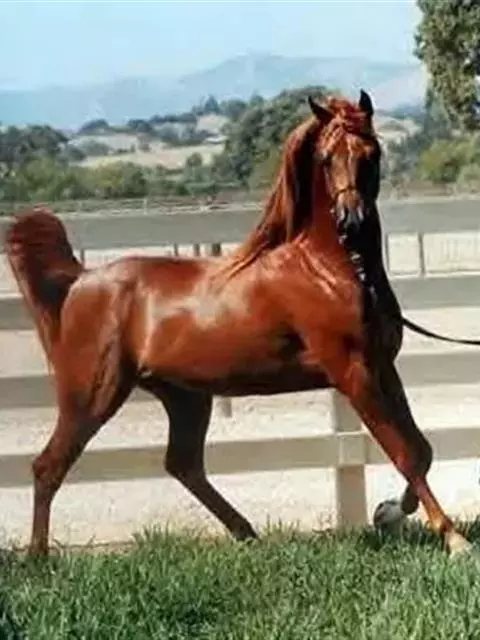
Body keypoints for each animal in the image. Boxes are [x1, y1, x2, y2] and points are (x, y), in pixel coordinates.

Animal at [4, 90, 473, 558]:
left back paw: (246, 533)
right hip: (91, 395)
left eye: (371, 152)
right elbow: (403, 451)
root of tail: (80, 281)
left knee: (183, 465)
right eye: (325, 158)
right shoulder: (354, 373)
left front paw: (388, 512)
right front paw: (454, 538)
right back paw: (38, 558)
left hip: (186, 397)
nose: (351, 221)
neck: (328, 270)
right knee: (48, 466)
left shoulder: (382, 366)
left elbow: (422, 449)